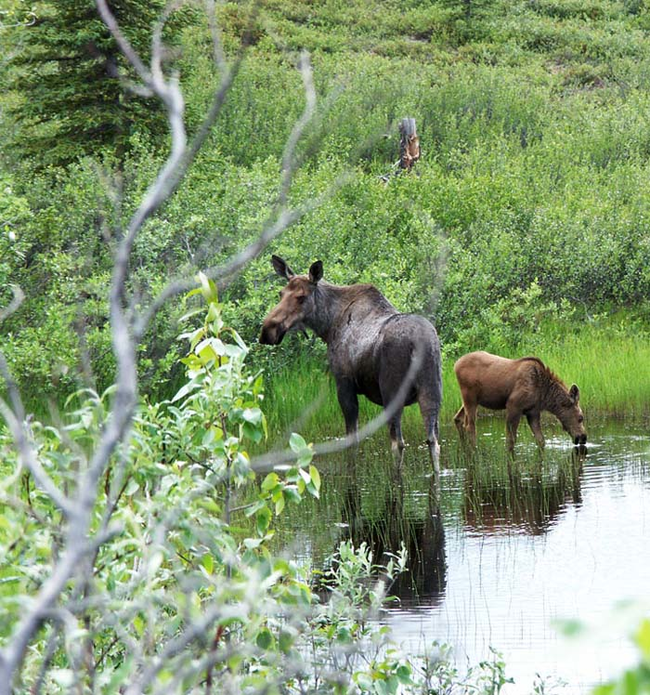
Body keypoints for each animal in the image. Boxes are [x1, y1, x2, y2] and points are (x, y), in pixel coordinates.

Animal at [258, 253, 440, 464]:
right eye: (281, 293)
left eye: (301, 297)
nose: (267, 331)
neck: (327, 326)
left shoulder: (344, 384)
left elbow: (351, 443)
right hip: (432, 390)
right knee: (432, 441)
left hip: (393, 392)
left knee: (398, 443)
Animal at [454, 350, 584, 454]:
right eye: (580, 417)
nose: (583, 438)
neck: (544, 396)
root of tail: (455, 365)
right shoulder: (513, 405)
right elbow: (510, 441)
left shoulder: (533, 412)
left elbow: (541, 440)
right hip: (469, 397)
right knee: (470, 425)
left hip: (472, 400)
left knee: (458, 418)